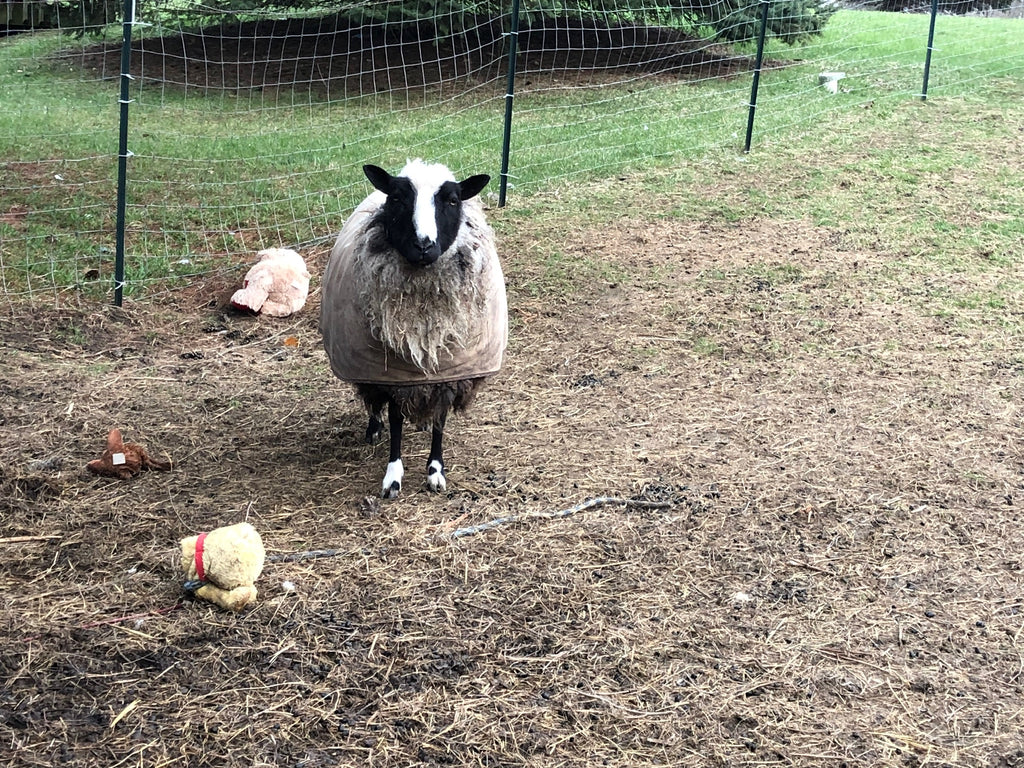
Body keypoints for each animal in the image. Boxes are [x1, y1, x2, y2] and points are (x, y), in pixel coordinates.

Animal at [319, 159, 507, 498]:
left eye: (452, 200)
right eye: (397, 198)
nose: (423, 245)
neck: (424, 326)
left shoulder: (449, 372)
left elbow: (440, 421)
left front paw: (435, 472)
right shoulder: (394, 372)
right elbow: (395, 420)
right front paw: (393, 476)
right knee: (373, 402)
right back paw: (373, 428)